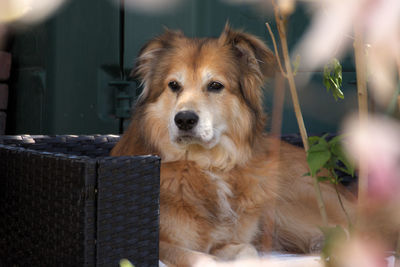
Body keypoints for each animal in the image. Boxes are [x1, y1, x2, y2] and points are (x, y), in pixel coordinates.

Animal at [111, 25, 354, 267]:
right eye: (173, 85)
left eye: (215, 85)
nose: (184, 120)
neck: (206, 165)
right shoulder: (162, 244)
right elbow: (207, 259)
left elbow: (247, 250)